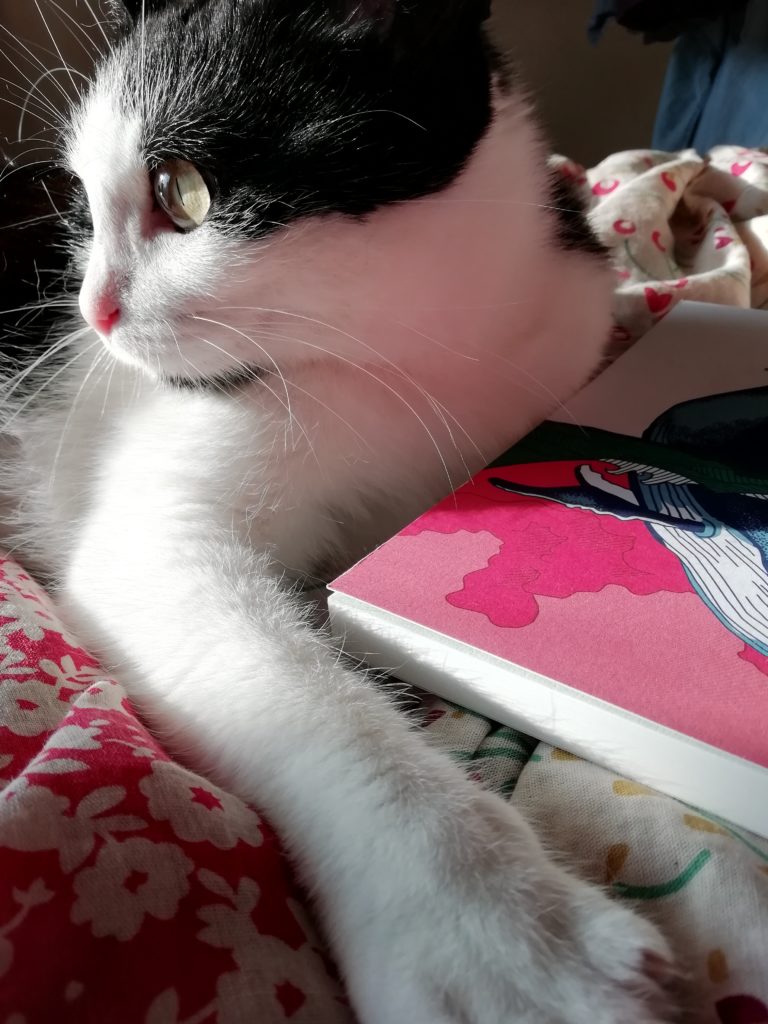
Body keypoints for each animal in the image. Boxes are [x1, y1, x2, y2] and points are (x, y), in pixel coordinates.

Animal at [1, 1, 677, 1021]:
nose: (93, 309)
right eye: (78, 204)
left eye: (185, 190)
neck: (420, 356)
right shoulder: (157, 530)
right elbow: (305, 703)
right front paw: (498, 935)